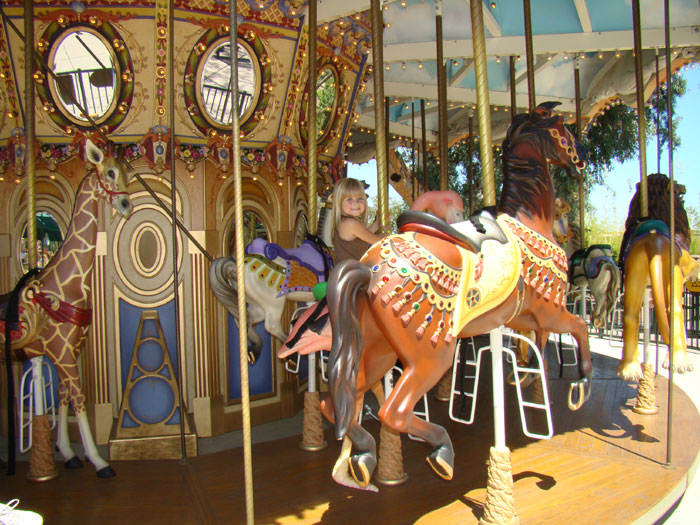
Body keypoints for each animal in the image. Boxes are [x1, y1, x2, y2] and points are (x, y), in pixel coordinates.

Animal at [1, 139, 133, 478]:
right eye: (110, 171)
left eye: (127, 172)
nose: (126, 205)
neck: (64, 286)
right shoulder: (60, 351)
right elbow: (79, 397)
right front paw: (99, 461)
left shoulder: (69, 350)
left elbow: (62, 396)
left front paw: (67, 452)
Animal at [209, 206, 333, 363]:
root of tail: (235, 267)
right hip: (274, 303)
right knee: (271, 326)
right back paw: (291, 350)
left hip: (256, 302)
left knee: (246, 320)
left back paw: (254, 351)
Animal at [325, 102, 593, 488]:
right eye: (561, 130)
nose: (581, 160)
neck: (530, 220)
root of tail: (368, 269)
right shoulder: (551, 311)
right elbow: (580, 327)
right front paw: (580, 388)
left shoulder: (525, 317)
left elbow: (536, 343)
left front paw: (527, 377)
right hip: (430, 355)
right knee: (393, 412)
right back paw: (441, 453)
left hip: (378, 349)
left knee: (339, 403)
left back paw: (363, 458)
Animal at [617, 173, 698, 380]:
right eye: (680, 196)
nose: (684, 189)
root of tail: (654, 242)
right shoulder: (684, 265)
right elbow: (695, 266)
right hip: (671, 276)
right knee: (675, 311)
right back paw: (680, 362)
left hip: (636, 273)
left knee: (631, 316)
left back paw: (630, 370)